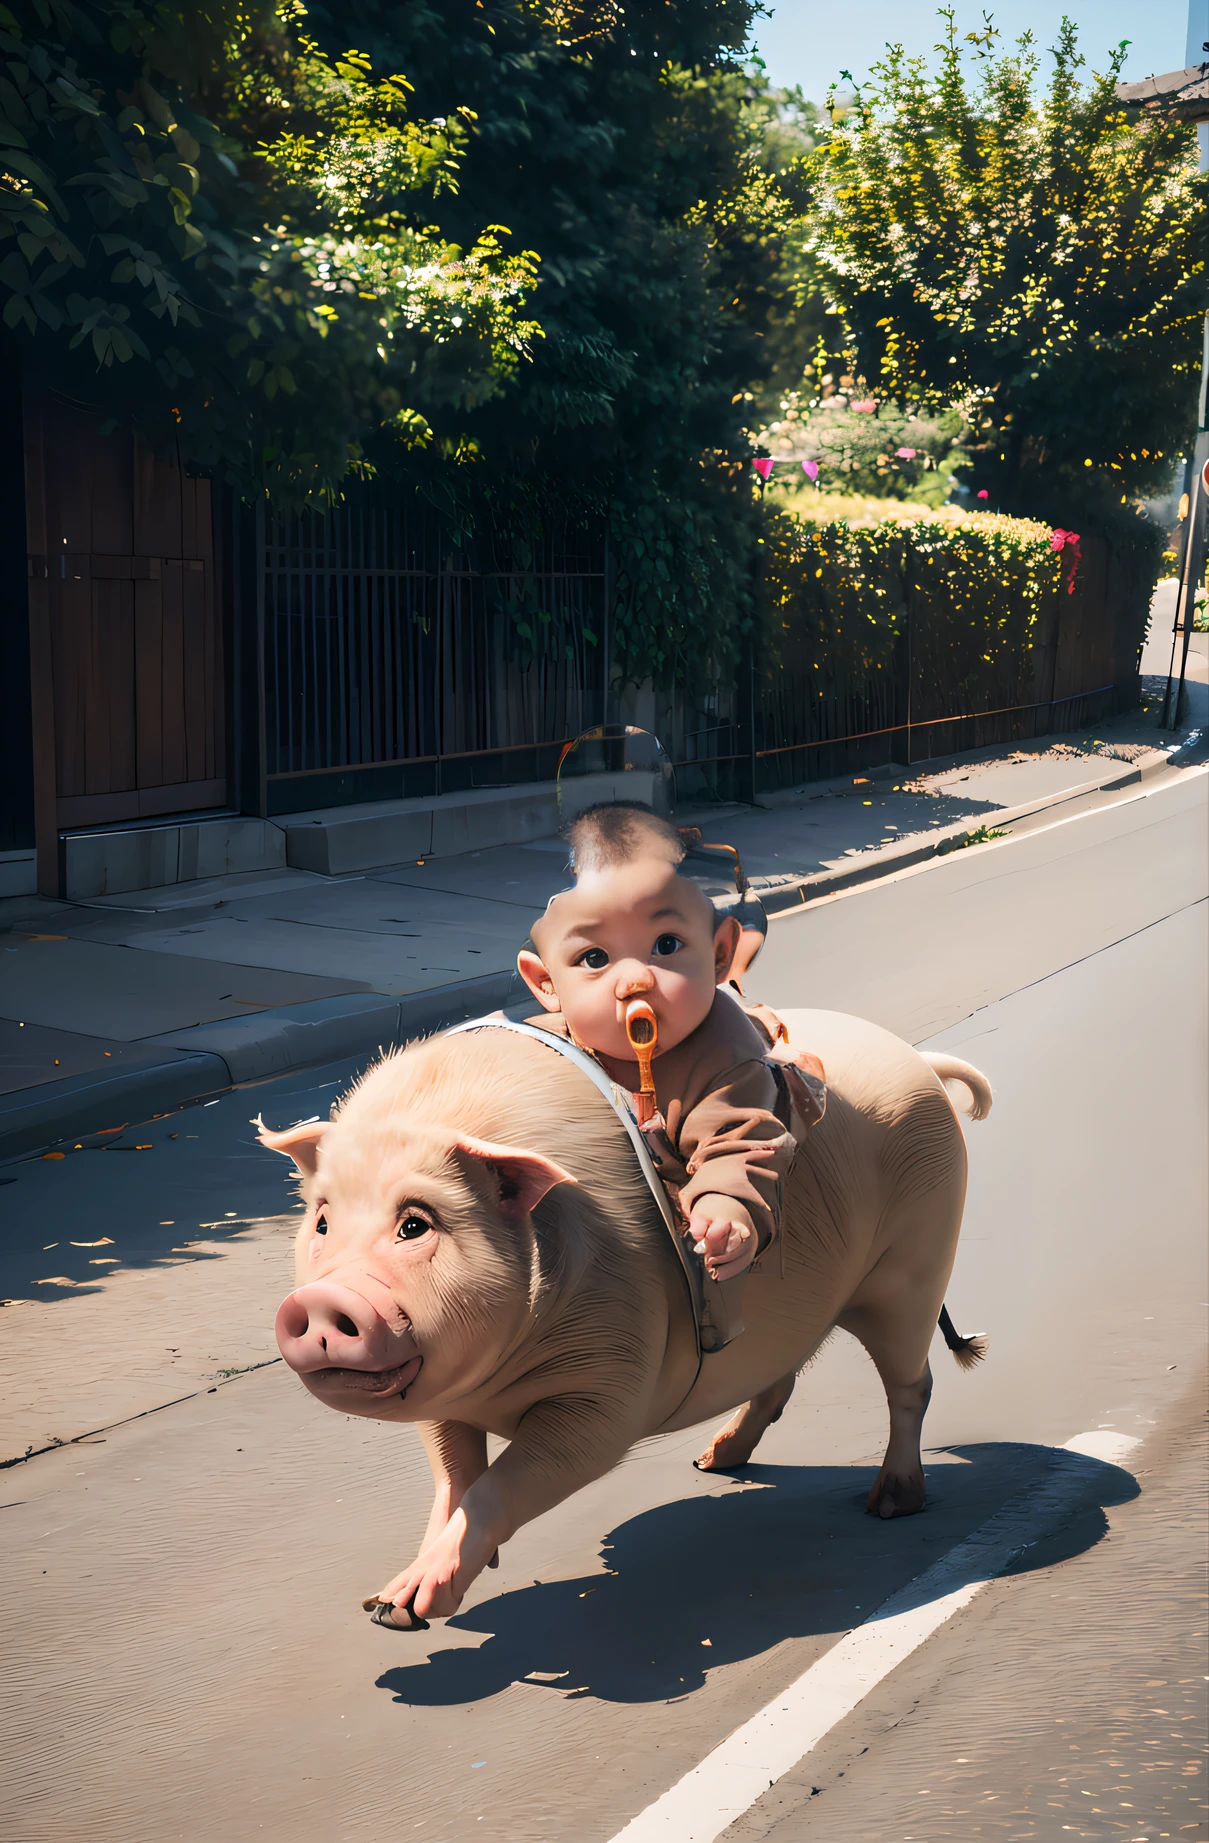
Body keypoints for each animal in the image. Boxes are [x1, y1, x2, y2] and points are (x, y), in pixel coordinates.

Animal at [259, 1009, 987, 1629]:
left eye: (416, 1223)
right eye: (321, 1221)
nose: (319, 1301)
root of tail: (919, 1059)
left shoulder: (607, 1388)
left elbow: (510, 1480)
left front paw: (406, 1606)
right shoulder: (443, 1398)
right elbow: (454, 1475)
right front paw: (391, 1608)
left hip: (915, 1263)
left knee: (910, 1382)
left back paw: (888, 1503)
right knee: (780, 1374)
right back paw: (712, 1461)